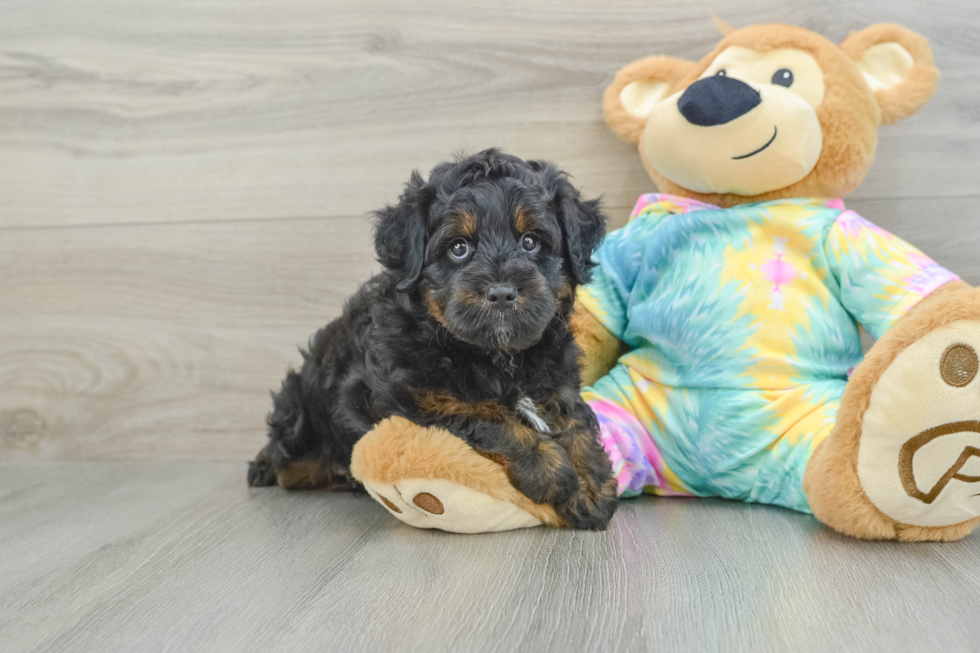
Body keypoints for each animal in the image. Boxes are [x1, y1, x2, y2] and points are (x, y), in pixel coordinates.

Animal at [251, 149, 620, 528]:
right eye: (458, 248)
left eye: (530, 242)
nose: (501, 292)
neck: (496, 354)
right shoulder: (413, 397)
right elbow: (486, 415)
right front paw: (551, 470)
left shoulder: (556, 376)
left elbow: (574, 418)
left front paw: (590, 483)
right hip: (300, 415)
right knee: (286, 459)